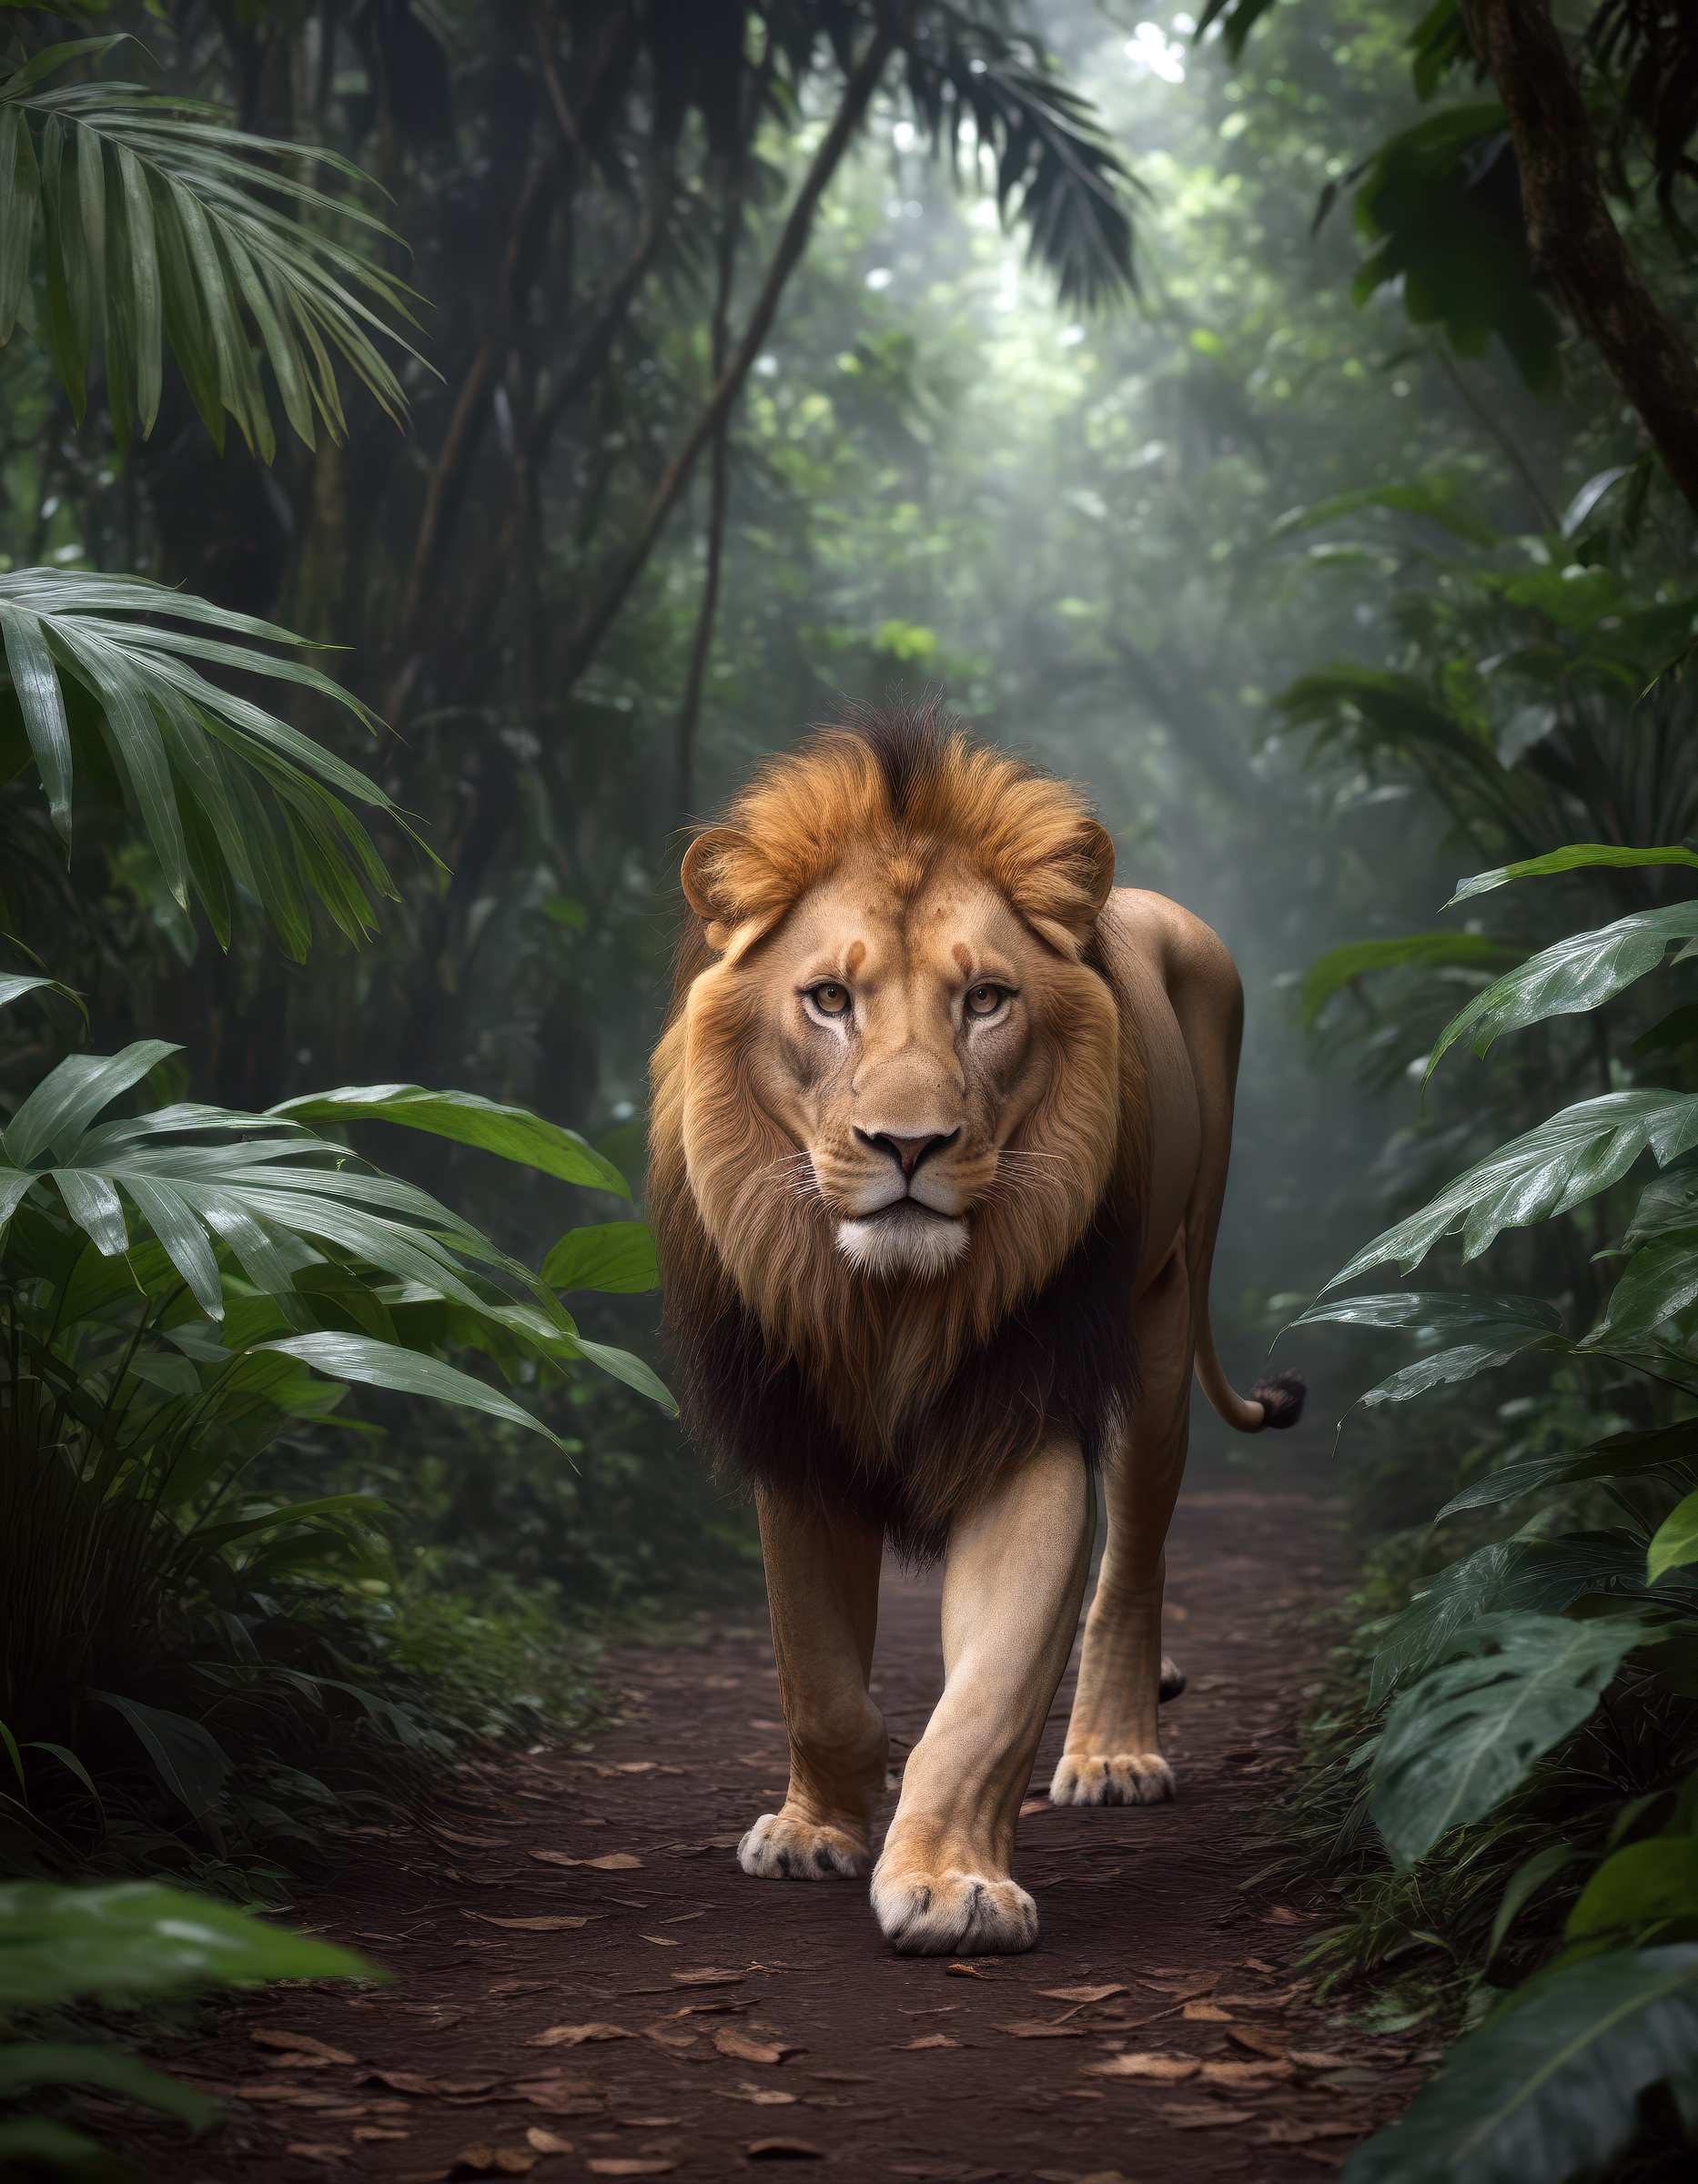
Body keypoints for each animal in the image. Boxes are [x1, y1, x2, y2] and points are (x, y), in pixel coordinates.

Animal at [649, 701, 1302, 1957]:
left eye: (986, 999)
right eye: (829, 1000)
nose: (910, 1146)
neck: (892, 1304)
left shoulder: (1028, 1414)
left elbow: (988, 1697)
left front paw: (952, 1883)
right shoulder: (796, 1431)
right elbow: (816, 1673)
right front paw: (814, 1826)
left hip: (1162, 1318)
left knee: (1132, 1558)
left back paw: (1114, 1752)